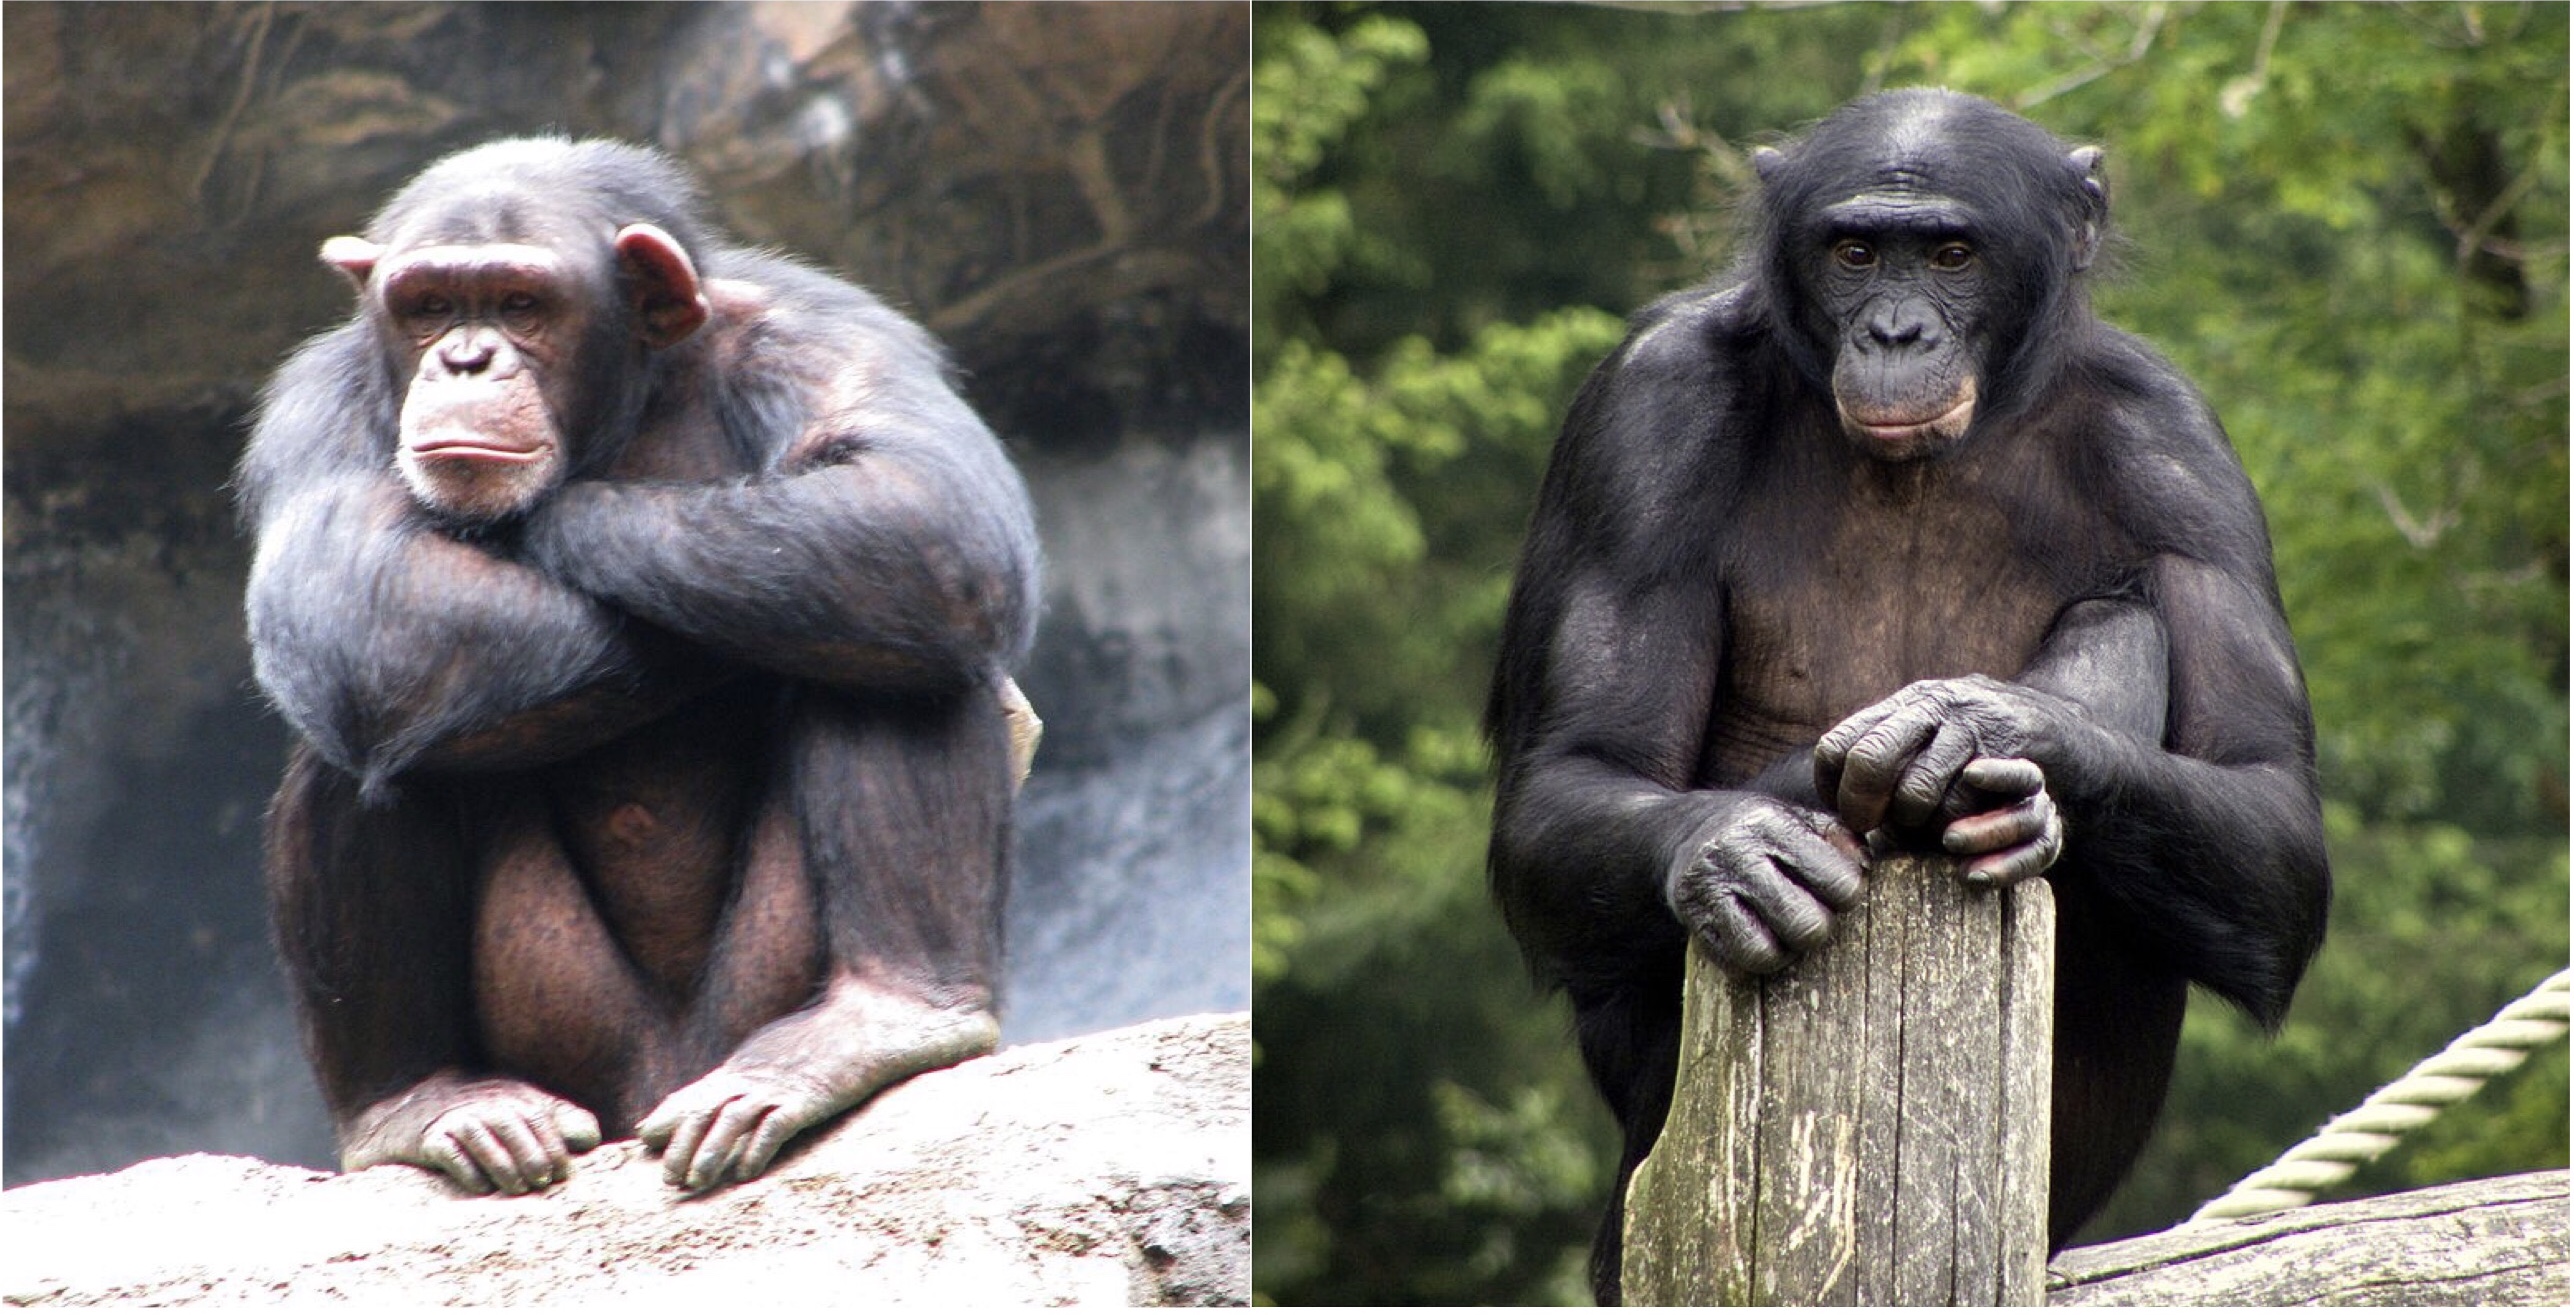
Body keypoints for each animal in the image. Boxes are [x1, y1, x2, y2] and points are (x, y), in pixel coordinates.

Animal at [239, 138, 1045, 1199]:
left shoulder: (829, 338)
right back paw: (419, 1101)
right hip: (566, 1030)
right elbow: (353, 594)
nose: (464, 357)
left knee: (891, 627)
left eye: (520, 303)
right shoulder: (319, 398)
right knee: (375, 722)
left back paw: (889, 1018)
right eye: (427, 305)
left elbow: (922, 506)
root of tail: (649, 1098)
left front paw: (545, 517)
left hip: (749, 1002)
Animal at [1482, 87, 2326, 1302]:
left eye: (1952, 254)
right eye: (1855, 252)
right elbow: (1577, 771)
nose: (1894, 332)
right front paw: (1740, 851)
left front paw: (1987, 725)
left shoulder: (2186, 461)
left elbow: (2273, 815)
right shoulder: (1645, 414)